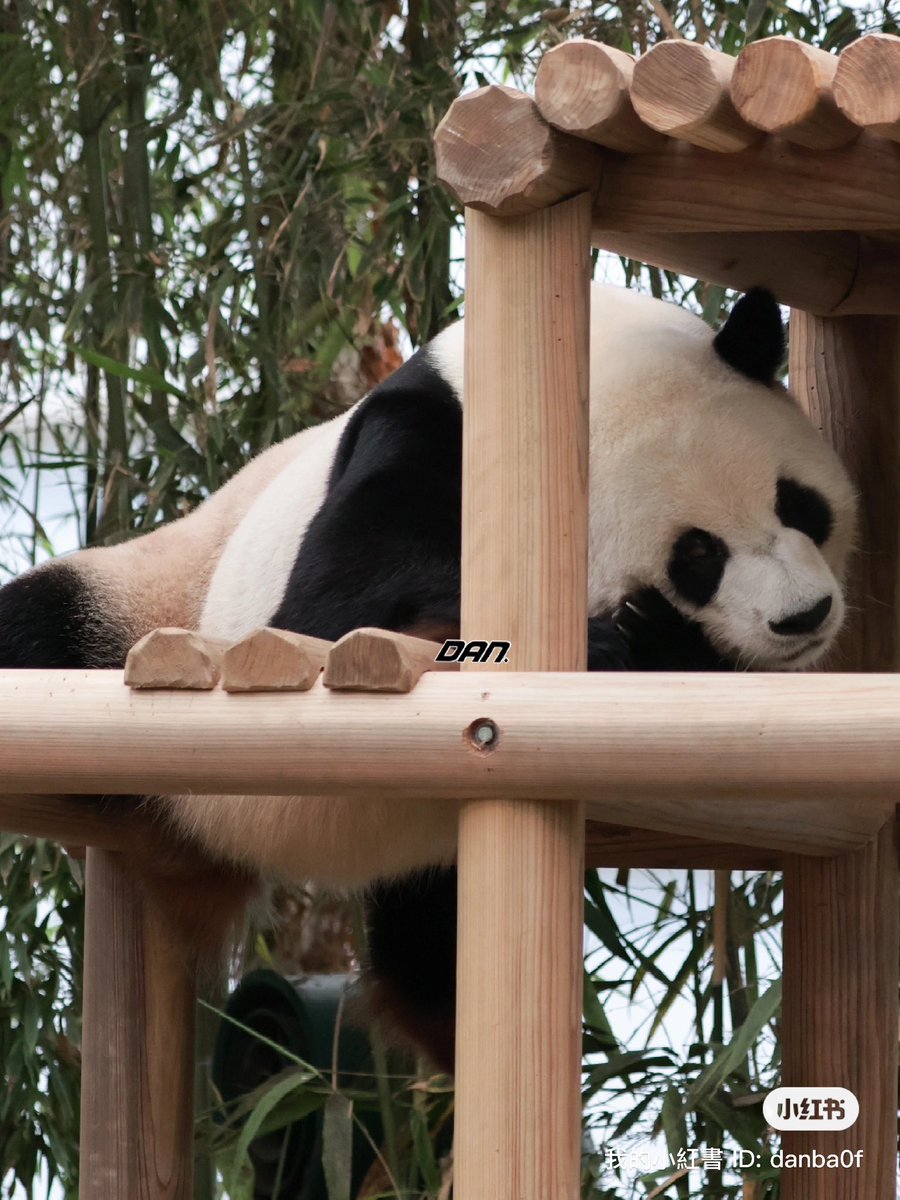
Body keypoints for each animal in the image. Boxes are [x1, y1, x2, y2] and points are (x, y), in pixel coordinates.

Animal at [0, 283, 856, 1069]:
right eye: (698, 556)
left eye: (799, 504)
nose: (804, 617)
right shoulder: (419, 442)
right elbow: (329, 610)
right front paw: (624, 637)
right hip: (147, 600)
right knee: (45, 627)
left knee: (431, 940)